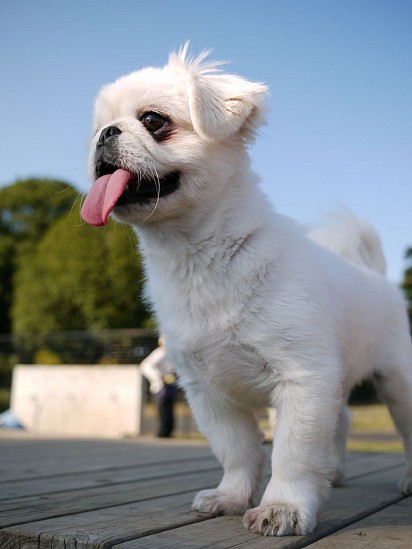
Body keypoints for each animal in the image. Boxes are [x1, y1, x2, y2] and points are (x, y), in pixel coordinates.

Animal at [81, 46, 412, 536]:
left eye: (154, 121)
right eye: (96, 127)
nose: (105, 134)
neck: (197, 259)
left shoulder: (303, 381)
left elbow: (291, 456)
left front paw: (284, 508)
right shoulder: (210, 391)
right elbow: (238, 452)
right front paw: (232, 497)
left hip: (397, 381)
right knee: (342, 421)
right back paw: (333, 473)